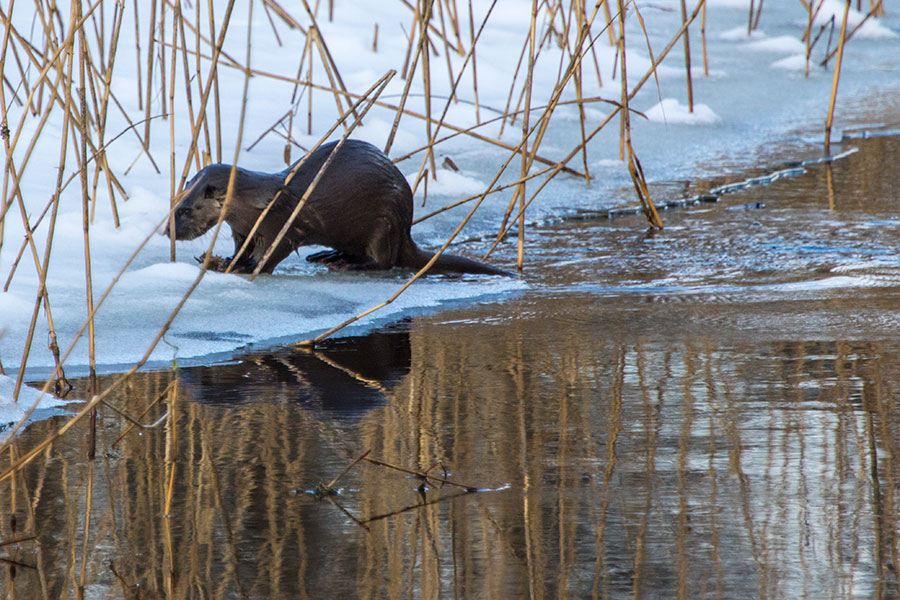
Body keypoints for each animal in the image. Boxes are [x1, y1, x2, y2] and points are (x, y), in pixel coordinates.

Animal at [169, 139, 506, 276]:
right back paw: (327, 255)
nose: (169, 230)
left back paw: (348, 263)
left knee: (384, 261)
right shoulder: (241, 230)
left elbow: (269, 255)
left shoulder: (279, 224)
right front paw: (226, 260)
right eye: (174, 205)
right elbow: (242, 248)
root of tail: (406, 229)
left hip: (386, 220)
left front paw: (241, 266)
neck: (259, 203)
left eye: (186, 210)